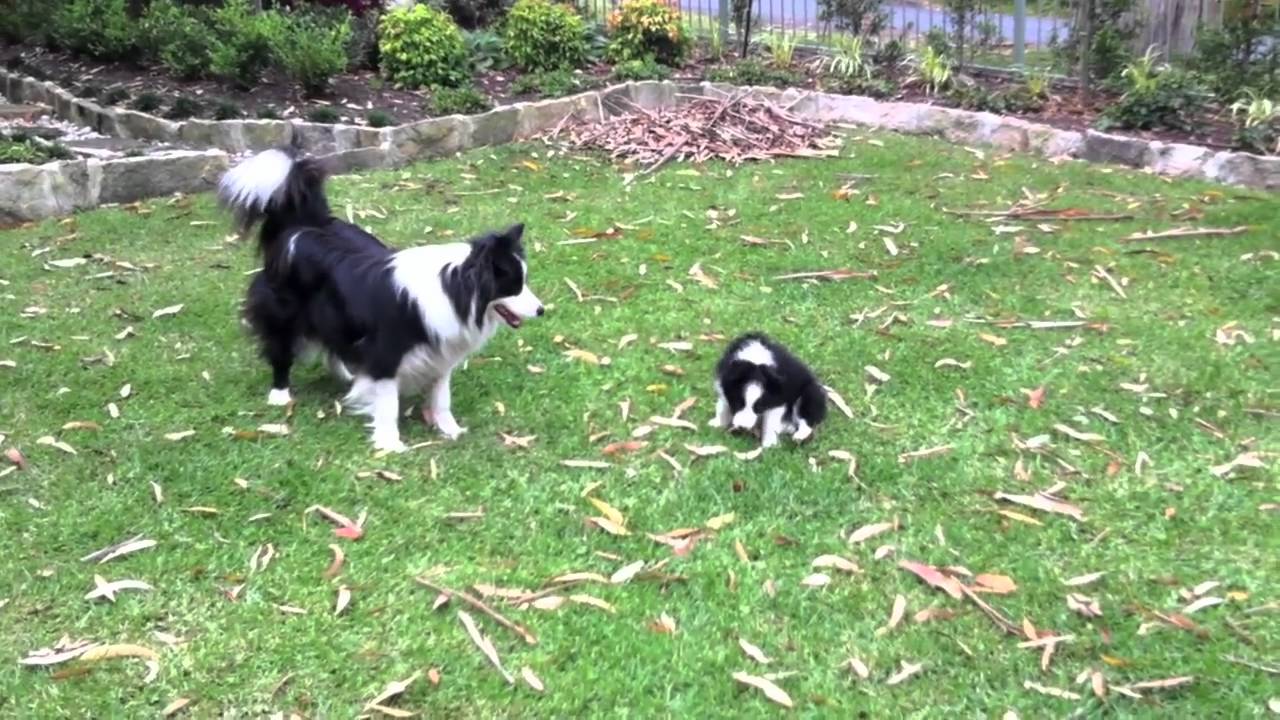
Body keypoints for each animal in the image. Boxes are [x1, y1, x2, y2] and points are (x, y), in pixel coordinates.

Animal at [220, 146, 540, 448]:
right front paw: (390, 444)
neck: (453, 288)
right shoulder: (386, 354)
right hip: (283, 310)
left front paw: (450, 430)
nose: (541, 310)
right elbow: (388, 403)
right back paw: (280, 393)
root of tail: (302, 224)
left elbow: (441, 397)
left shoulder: (440, 353)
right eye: (513, 286)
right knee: (280, 348)